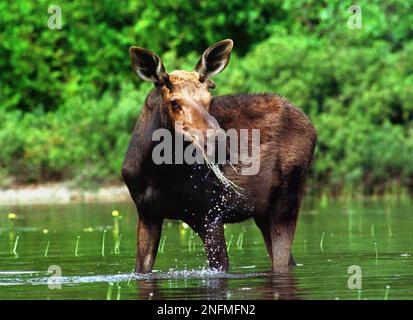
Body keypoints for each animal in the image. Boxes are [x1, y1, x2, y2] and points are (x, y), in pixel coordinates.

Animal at [121, 39, 316, 272]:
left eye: (210, 101)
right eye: (174, 102)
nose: (219, 142)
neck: (155, 172)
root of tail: (312, 125)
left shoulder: (209, 214)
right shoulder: (147, 214)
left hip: (288, 197)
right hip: (262, 210)